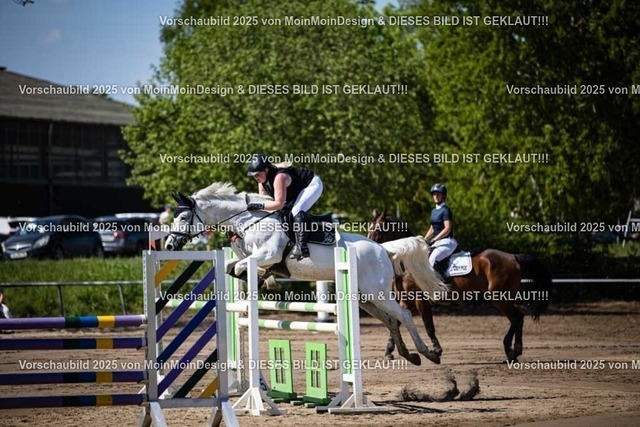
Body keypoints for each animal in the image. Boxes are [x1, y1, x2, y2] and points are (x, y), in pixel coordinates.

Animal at [164, 182, 450, 365]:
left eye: (183, 218)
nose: (168, 245)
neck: (250, 220)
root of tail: (383, 248)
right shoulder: (252, 255)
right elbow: (231, 267)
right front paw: (264, 280)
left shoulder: (269, 254)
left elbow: (243, 267)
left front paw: (263, 283)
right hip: (365, 298)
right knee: (391, 321)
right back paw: (408, 355)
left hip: (377, 293)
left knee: (403, 315)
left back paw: (429, 354)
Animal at [368, 210, 552, 362]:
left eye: (377, 229)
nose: (369, 246)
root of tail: (514, 256)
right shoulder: (406, 301)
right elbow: (396, 322)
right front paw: (389, 351)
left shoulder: (421, 301)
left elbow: (428, 327)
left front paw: (436, 350)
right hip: (502, 297)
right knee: (518, 318)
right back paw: (514, 352)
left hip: (499, 297)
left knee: (517, 318)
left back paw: (511, 350)